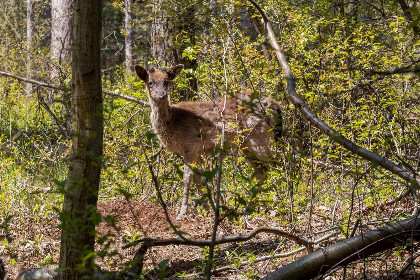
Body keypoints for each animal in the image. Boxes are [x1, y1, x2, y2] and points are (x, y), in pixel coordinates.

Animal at [135, 64, 282, 220]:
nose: (162, 94)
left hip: (260, 137)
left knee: (277, 165)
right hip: (247, 145)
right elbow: (198, 179)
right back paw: (249, 209)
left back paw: (278, 208)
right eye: (150, 82)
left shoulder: (190, 145)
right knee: (262, 172)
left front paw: (182, 213)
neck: (172, 122)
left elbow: (187, 179)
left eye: (167, 81)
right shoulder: (196, 151)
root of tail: (276, 106)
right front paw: (206, 210)